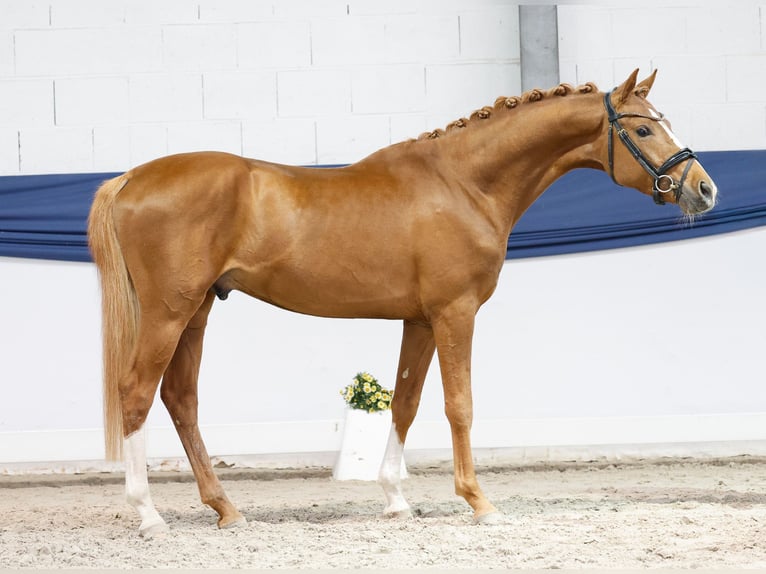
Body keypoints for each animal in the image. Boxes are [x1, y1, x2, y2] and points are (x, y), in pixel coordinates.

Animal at [87, 69, 717, 536]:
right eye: (643, 130)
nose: (704, 189)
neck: (464, 184)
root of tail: (130, 179)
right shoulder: (455, 313)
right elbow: (459, 405)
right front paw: (479, 502)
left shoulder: (419, 319)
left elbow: (405, 404)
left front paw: (395, 499)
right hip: (170, 313)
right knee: (137, 392)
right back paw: (149, 516)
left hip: (197, 311)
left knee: (181, 399)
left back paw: (225, 508)